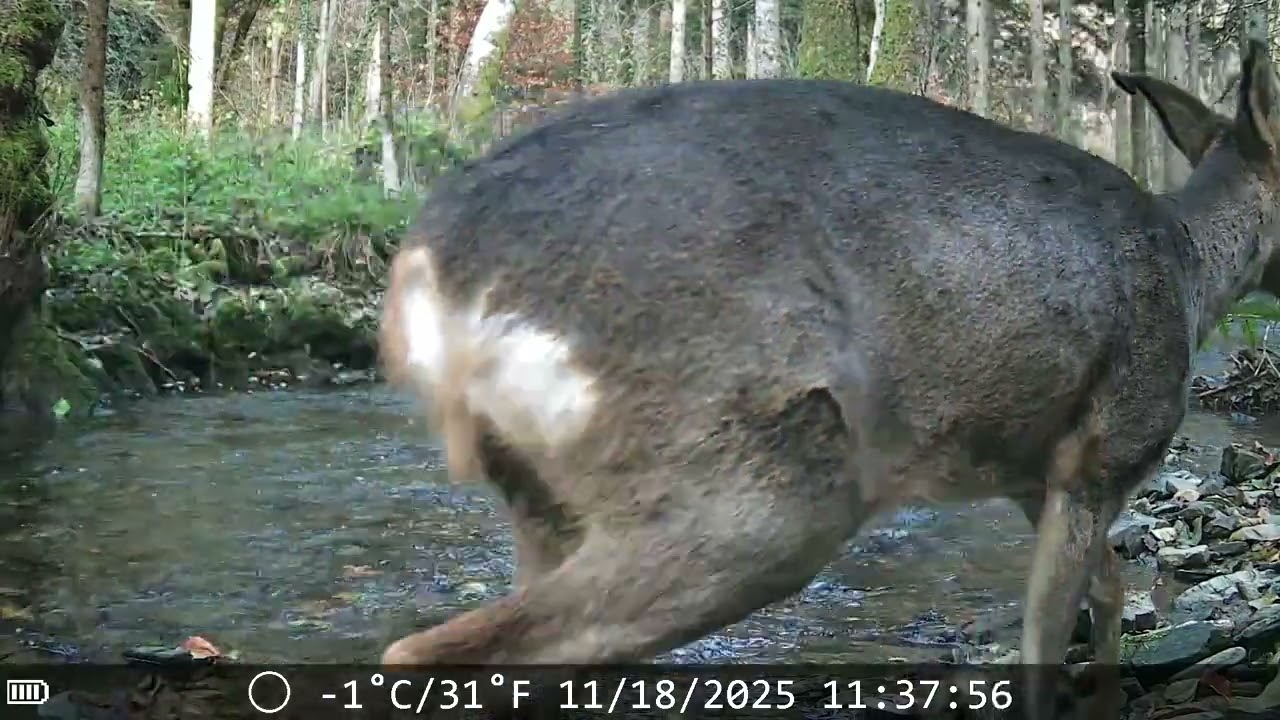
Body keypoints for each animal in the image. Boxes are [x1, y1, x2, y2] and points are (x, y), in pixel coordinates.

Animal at [376, 38, 1280, 719]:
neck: (1190, 273)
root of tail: (427, 275)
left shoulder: (1034, 473)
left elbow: (1111, 588)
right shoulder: (1103, 451)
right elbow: (1048, 636)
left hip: (547, 499)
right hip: (757, 484)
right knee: (427, 651)